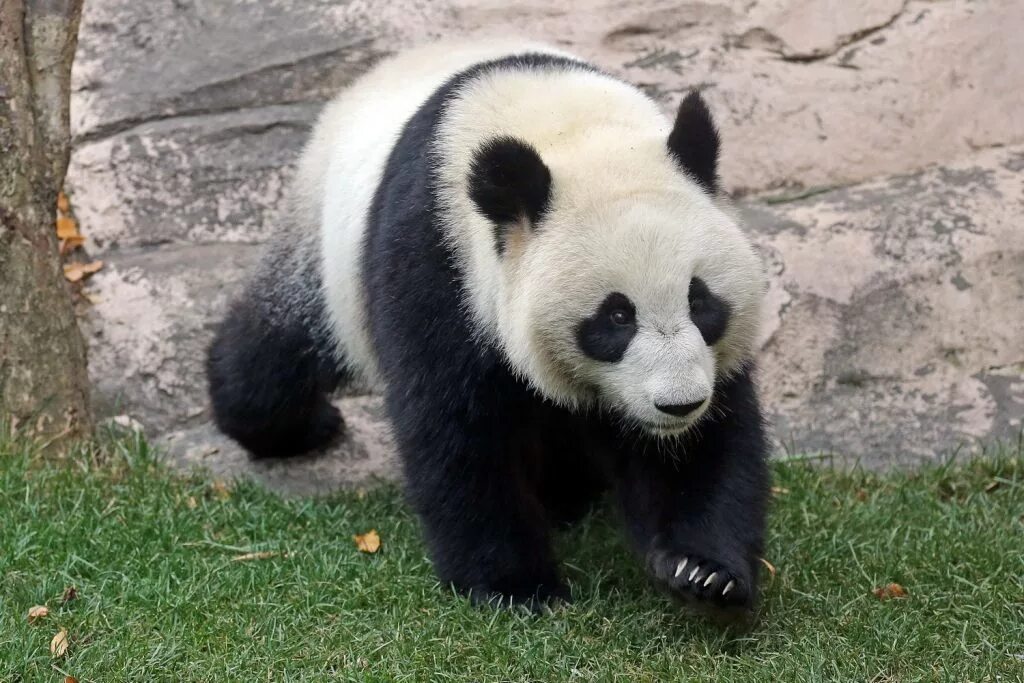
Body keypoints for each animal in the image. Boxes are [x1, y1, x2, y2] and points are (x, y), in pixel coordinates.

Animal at [207, 40, 770, 610]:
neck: (564, 125)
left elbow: (704, 447)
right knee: (278, 350)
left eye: (699, 302)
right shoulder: (438, 261)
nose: (679, 405)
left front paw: (703, 570)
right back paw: (293, 425)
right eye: (616, 317)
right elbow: (459, 430)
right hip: (324, 246)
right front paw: (516, 587)